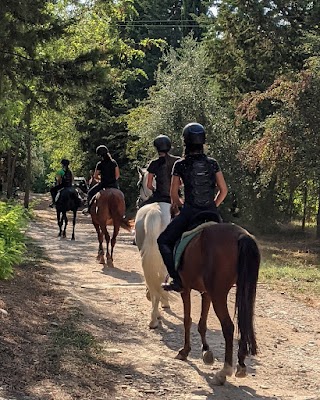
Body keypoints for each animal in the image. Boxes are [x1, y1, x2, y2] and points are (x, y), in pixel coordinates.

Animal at [176, 222, 262, 384]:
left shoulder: (186, 289)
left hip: (218, 294)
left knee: (228, 327)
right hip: (240, 289)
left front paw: (184, 351)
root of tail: (242, 235)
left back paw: (224, 371)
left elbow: (187, 320)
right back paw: (241, 365)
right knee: (243, 324)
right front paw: (206, 351)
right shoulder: (206, 293)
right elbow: (202, 323)